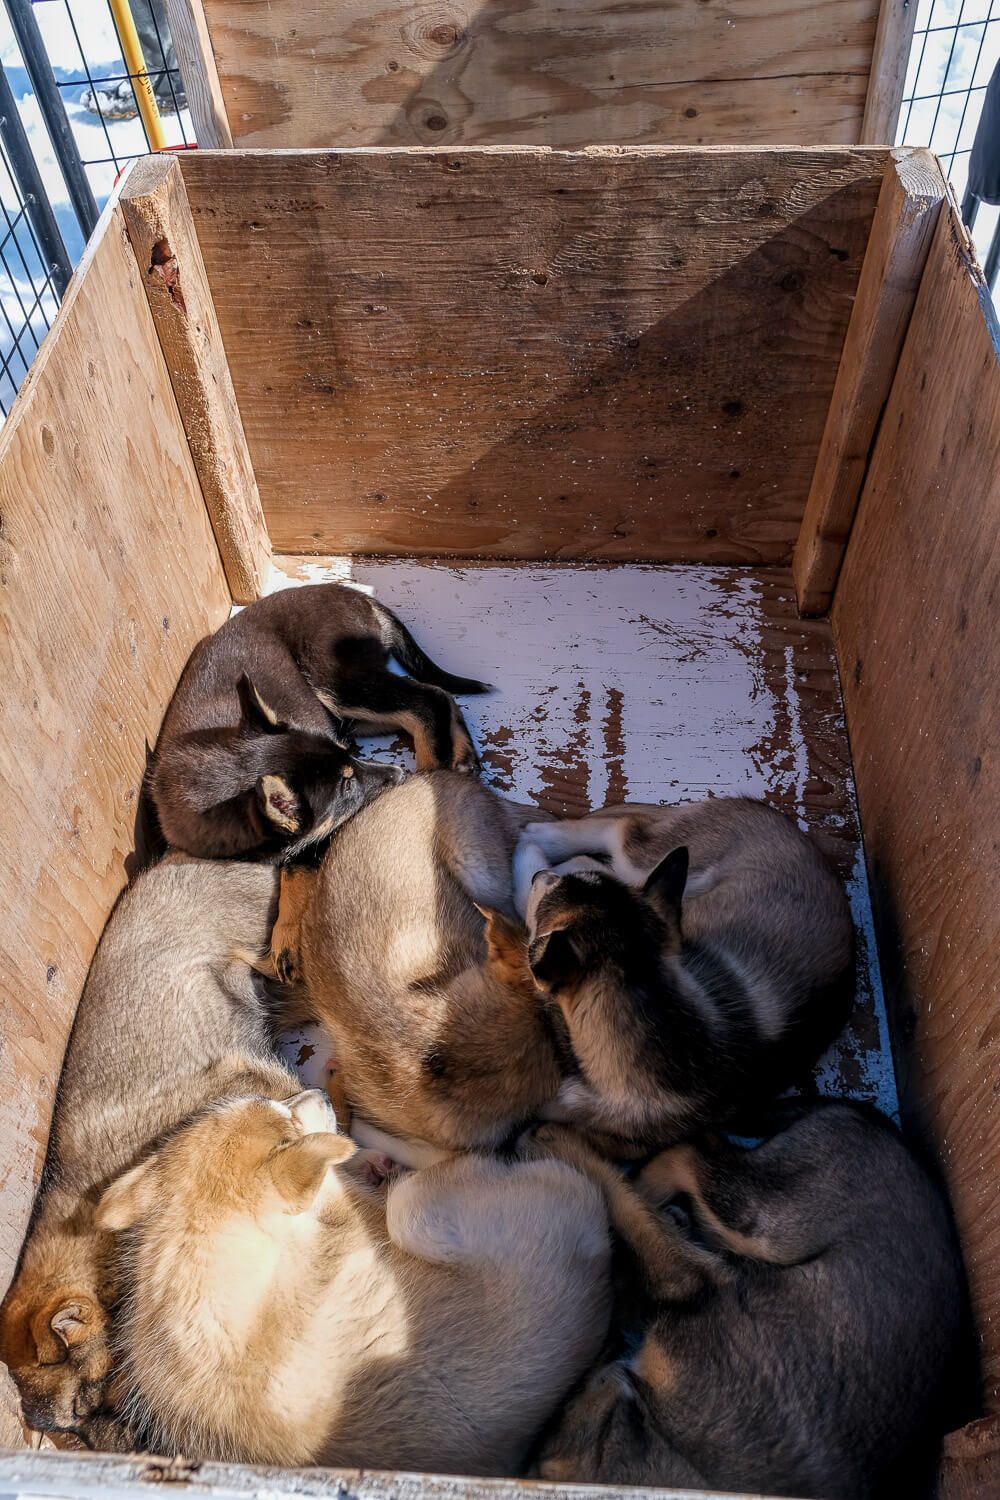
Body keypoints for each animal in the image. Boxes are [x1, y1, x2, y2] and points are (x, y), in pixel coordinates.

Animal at [150, 585, 491, 870]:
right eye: (347, 788)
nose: (399, 774)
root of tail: (355, 594)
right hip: (353, 710)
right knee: (440, 694)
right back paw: (463, 759)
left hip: (336, 681)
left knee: (426, 701)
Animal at [527, 1104, 971, 1500]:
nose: (615, 1341)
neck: (675, 1449)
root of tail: (873, 1119)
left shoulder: (693, 1284)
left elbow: (632, 1218)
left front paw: (558, 1144)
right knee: (703, 1146)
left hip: (763, 1220)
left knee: (695, 1151)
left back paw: (625, 1168)